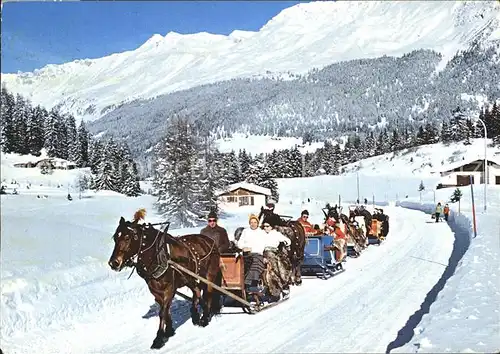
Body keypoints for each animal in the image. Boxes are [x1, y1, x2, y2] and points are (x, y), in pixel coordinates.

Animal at [108, 209, 223, 350]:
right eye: (115, 237)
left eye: (127, 237)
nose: (114, 263)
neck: (157, 256)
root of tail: (210, 241)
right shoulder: (155, 290)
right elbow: (165, 309)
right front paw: (169, 330)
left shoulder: (169, 288)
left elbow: (163, 312)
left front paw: (158, 338)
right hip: (189, 277)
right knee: (196, 291)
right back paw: (195, 316)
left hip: (209, 275)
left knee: (209, 294)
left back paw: (205, 318)